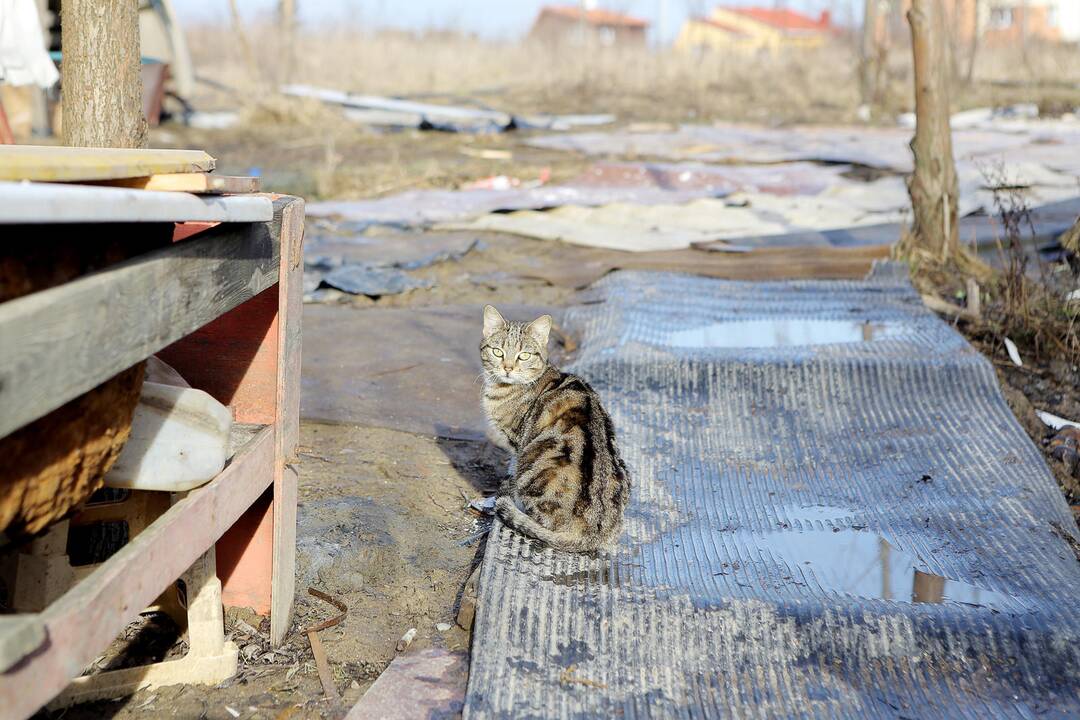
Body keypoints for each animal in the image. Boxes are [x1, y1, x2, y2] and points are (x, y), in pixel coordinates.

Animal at [479, 304, 630, 552]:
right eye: (498, 352)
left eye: (524, 355)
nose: (508, 368)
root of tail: (591, 534)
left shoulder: (517, 442)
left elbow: (513, 465)